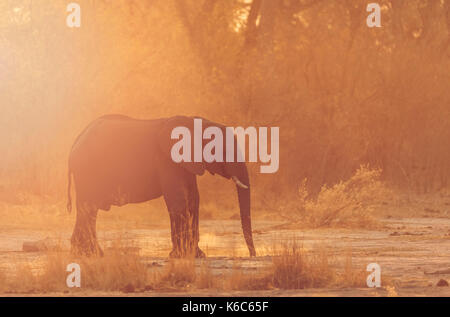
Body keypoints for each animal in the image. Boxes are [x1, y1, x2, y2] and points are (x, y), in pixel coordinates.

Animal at [67, 113, 256, 256]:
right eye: (223, 150)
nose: (252, 255)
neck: (194, 122)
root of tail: (76, 140)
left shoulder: (185, 164)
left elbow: (193, 200)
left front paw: (196, 255)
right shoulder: (167, 160)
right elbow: (179, 201)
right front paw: (181, 256)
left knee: (88, 211)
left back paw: (86, 253)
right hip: (87, 172)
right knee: (88, 209)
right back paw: (91, 254)